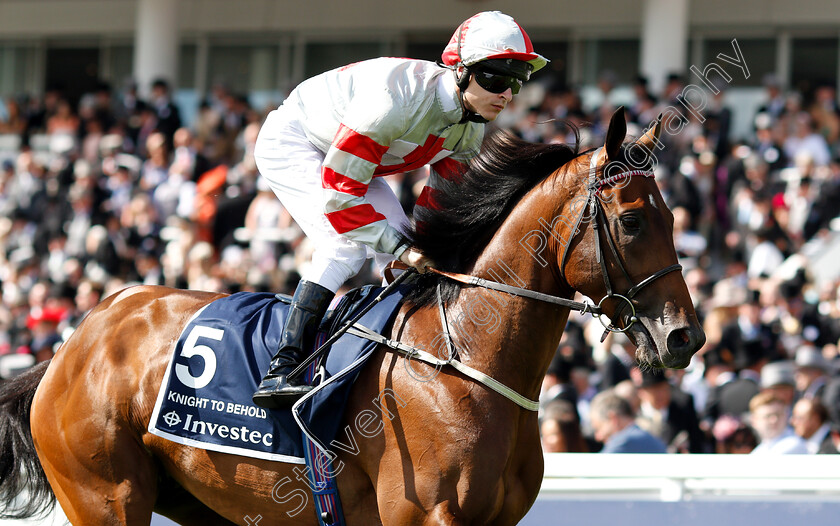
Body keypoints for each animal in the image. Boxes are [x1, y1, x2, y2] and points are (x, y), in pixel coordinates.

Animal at [1, 108, 704, 526]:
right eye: (633, 221)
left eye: (675, 218)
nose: (684, 336)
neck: (463, 357)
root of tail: (74, 343)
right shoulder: (422, 515)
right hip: (106, 495)